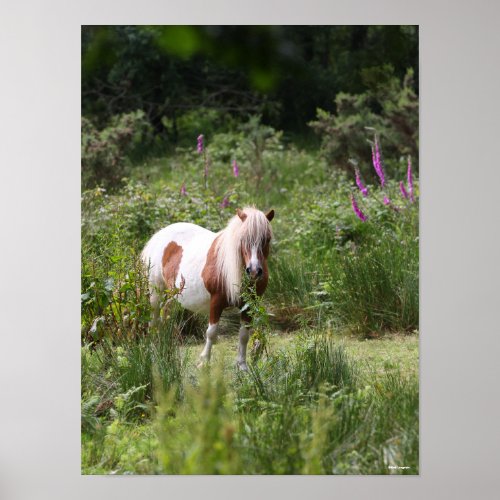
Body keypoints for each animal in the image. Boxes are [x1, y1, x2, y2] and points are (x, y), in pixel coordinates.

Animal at [140, 205, 274, 370]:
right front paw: (204, 361)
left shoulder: (248, 306)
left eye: (267, 239)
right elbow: (211, 332)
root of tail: (158, 236)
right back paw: (153, 350)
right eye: (243, 239)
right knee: (153, 321)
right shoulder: (216, 302)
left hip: (171, 295)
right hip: (155, 293)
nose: (254, 271)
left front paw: (242, 365)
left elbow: (244, 335)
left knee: (165, 317)